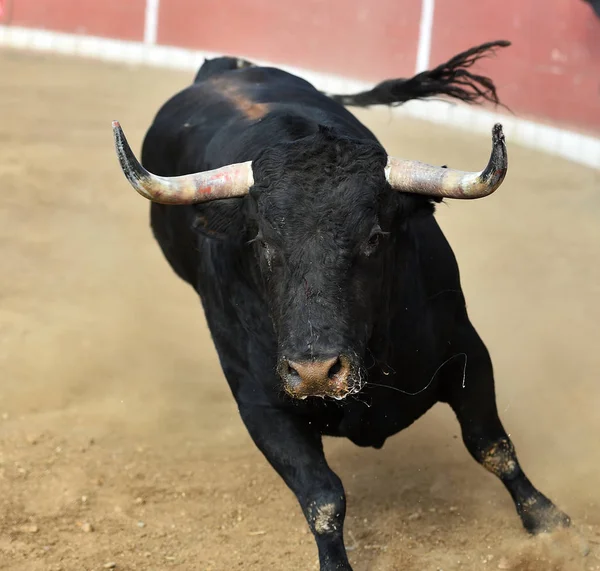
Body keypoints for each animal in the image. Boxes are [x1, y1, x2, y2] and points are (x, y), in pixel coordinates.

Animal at [113, 41, 572, 571]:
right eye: (262, 242)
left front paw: (550, 524)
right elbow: (323, 497)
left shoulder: (466, 350)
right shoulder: (260, 403)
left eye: (373, 238)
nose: (315, 373)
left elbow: (492, 446)